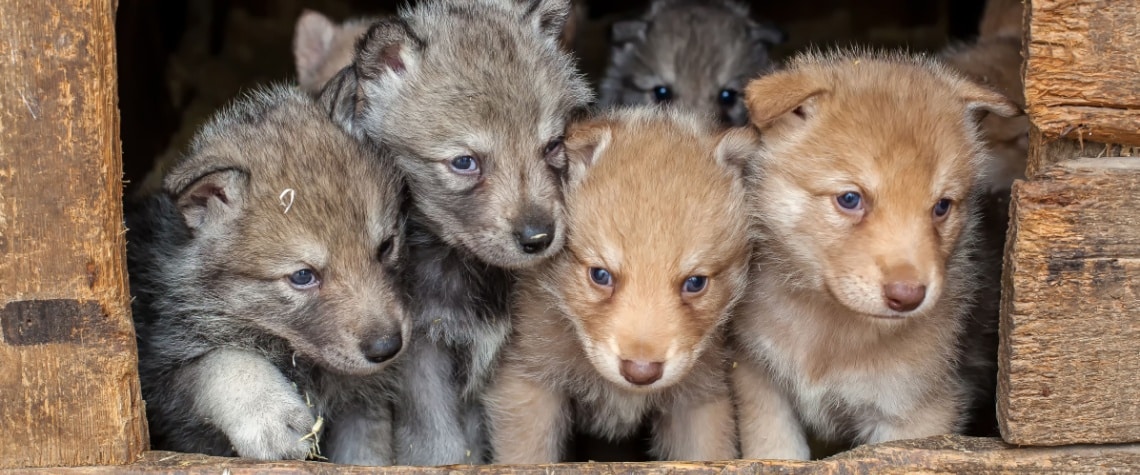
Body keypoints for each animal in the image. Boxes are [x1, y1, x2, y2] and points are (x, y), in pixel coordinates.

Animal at [129, 84, 410, 462]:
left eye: (385, 247)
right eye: (303, 276)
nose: (387, 347)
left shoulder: (362, 406)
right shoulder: (160, 370)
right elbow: (222, 360)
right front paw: (271, 415)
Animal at [316, 0, 592, 464]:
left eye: (553, 146)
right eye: (465, 162)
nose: (538, 237)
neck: (467, 270)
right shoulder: (421, 355)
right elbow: (437, 443)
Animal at [483, 105, 756, 460]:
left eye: (695, 282)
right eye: (601, 276)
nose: (641, 371)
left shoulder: (700, 400)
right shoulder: (529, 380)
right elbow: (527, 457)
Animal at [734, 48, 1021, 460]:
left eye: (942, 206)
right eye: (850, 199)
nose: (908, 297)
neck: (829, 331)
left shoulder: (915, 415)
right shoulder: (761, 383)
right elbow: (775, 453)